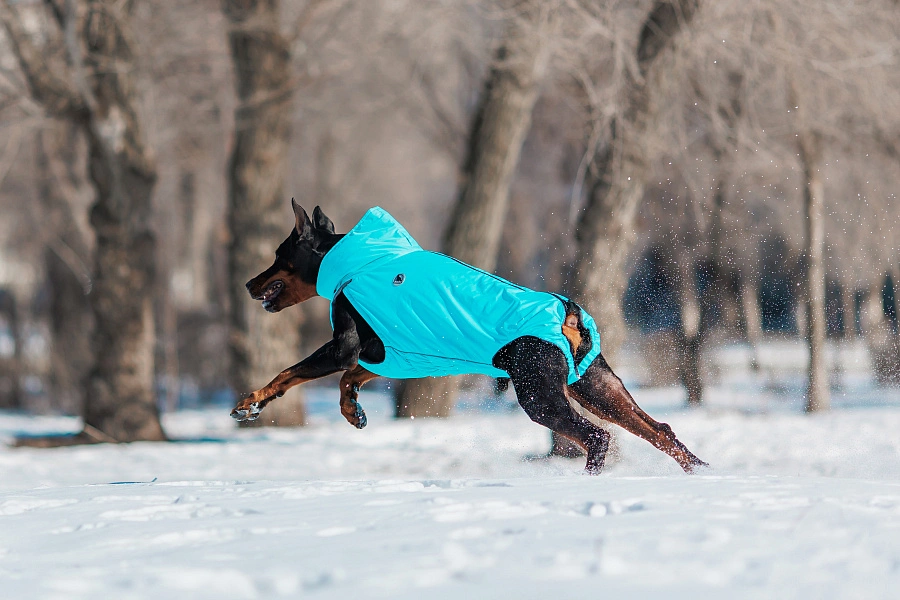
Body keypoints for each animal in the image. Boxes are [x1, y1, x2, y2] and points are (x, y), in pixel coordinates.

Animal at [229, 204, 708, 476]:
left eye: (278, 255)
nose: (249, 283)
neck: (359, 260)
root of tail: (565, 313)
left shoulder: (346, 344)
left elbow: (289, 373)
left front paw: (249, 403)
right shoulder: (394, 354)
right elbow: (351, 379)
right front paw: (353, 412)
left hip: (539, 393)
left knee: (596, 437)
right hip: (595, 384)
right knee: (658, 429)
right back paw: (699, 471)